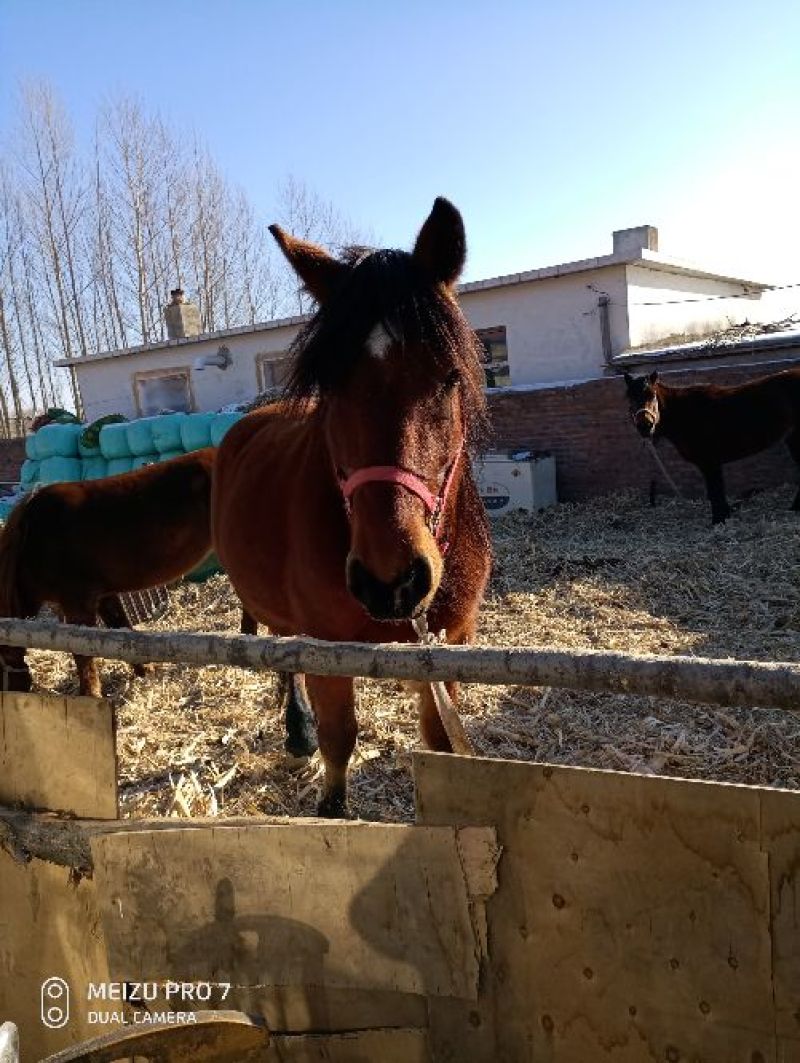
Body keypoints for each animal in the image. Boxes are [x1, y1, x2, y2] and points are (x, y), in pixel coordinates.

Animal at [0, 449, 218, 697]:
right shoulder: (103, 596)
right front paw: (145, 671)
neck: (32, 540)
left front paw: (90, 694)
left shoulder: (77, 603)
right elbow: (121, 629)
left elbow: (82, 653)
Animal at [213, 197, 493, 817]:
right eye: (329, 384)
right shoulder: (326, 648)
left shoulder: (450, 644)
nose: (391, 580)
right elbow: (339, 741)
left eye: (449, 377)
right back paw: (296, 730)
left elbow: (440, 748)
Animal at [624, 368, 800, 524]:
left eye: (652, 395)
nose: (645, 425)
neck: (686, 414)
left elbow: (715, 492)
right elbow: (716, 491)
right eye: (630, 398)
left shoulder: (709, 462)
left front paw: (718, 520)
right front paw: (724, 516)